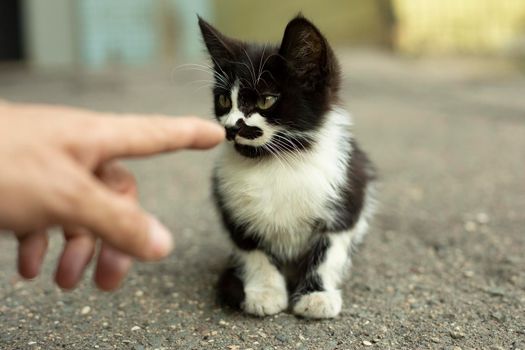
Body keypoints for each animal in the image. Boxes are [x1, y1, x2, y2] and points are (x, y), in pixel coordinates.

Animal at [198, 15, 376, 318]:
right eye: (224, 100)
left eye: (266, 100)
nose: (231, 128)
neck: (278, 160)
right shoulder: (231, 207)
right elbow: (254, 252)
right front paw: (265, 292)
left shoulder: (348, 193)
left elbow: (327, 252)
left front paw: (317, 294)